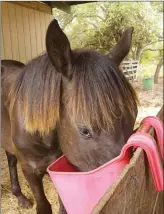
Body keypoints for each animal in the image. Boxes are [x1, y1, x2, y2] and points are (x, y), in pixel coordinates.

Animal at [1, 19, 138, 213]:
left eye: (134, 115)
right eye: (85, 131)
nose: (121, 185)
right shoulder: (29, 169)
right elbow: (43, 205)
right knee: (12, 162)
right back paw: (21, 198)